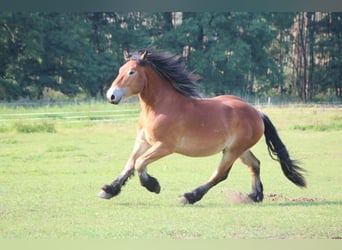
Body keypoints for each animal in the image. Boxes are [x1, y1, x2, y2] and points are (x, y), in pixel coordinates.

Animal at [97, 49, 308, 205]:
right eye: (120, 69)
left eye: (131, 72)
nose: (111, 96)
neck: (159, 107)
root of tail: (257, 112)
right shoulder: (143, 141)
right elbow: (130, 164)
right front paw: (109, 190)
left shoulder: (164, 146)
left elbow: (140, 163)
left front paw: (153, 185)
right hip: (239, 149)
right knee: (254, 165)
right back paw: (254, 196)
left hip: (233, 150)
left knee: (220, 174)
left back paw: (190, 196)